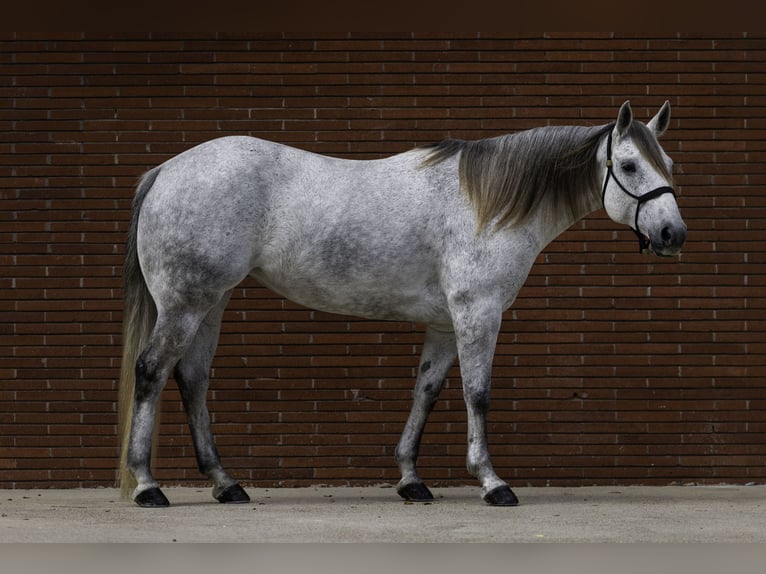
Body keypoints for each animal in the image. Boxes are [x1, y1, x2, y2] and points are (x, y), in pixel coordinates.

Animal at [118, 101, 686, 507]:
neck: (487, 205)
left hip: (210, 302)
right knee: (151, 372)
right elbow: (477, 395)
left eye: (669, 163)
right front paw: (492, 483)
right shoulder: (478, 313)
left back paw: (226, 483)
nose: (672, 234)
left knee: (192, 379)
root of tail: (166, 170)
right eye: (629, 164)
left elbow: (426, 393)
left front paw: (411, 479)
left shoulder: (444, 323)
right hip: (184, 303)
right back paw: (147, 485)